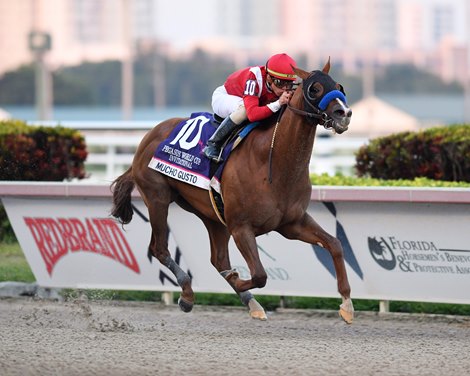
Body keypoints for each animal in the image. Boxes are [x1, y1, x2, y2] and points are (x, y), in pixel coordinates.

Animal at [110, 61, 352, 324]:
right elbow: (259, 275)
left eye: (339, 86)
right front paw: (236, 279)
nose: (344, 113)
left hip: (212, 216)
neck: (274, 163)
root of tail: (149, 136)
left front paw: (347, 304)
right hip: (157, 198)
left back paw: (251, 303)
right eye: (314, 89)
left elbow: (335, 244)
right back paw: (188, 294)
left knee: (218, 260)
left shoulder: (292, 223)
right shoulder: (241, 227)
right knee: (159, 248)